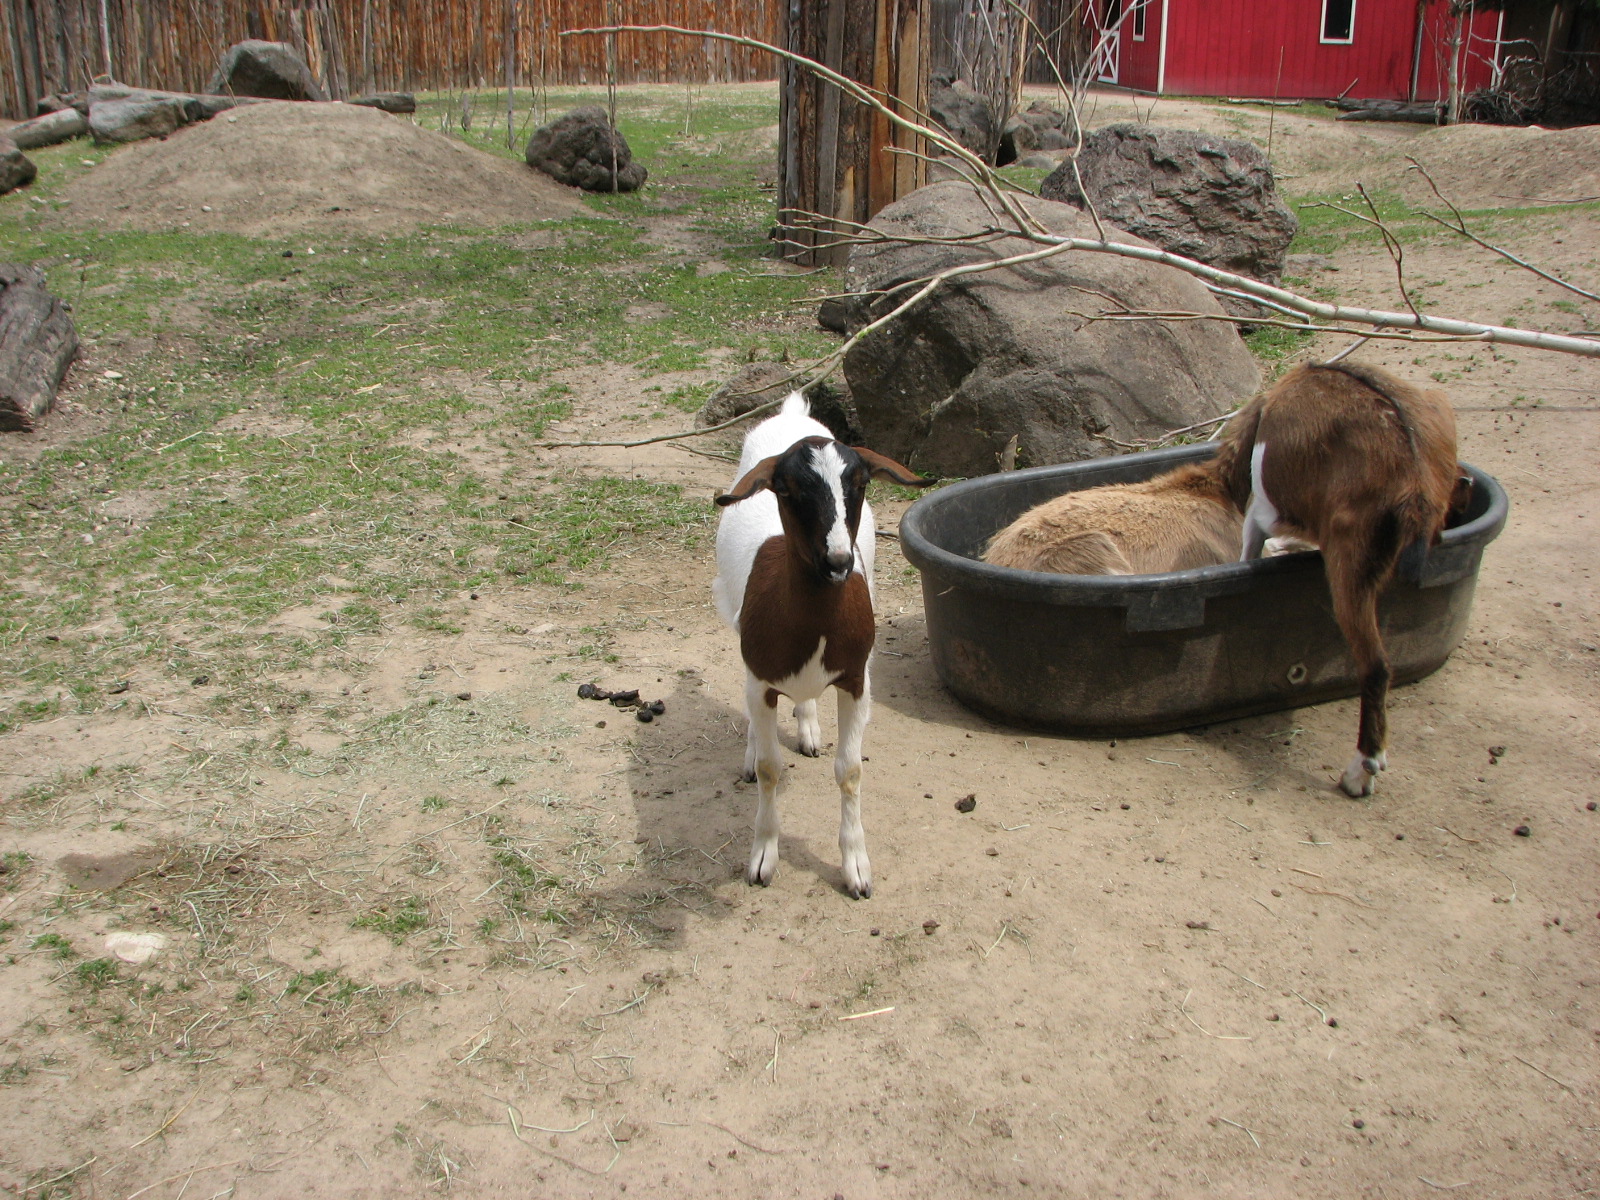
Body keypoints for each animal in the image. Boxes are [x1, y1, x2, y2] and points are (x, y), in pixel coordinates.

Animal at [713, 393, 928, 898]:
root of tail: (791, 412)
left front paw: (857, 868)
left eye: (861, 483)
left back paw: (809, 729)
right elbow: (770, 768)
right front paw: (763, 857)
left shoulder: (856, 679)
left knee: (805, 700)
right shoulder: (762, 676)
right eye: (788, 489)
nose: (838, 561)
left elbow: (849, 770)